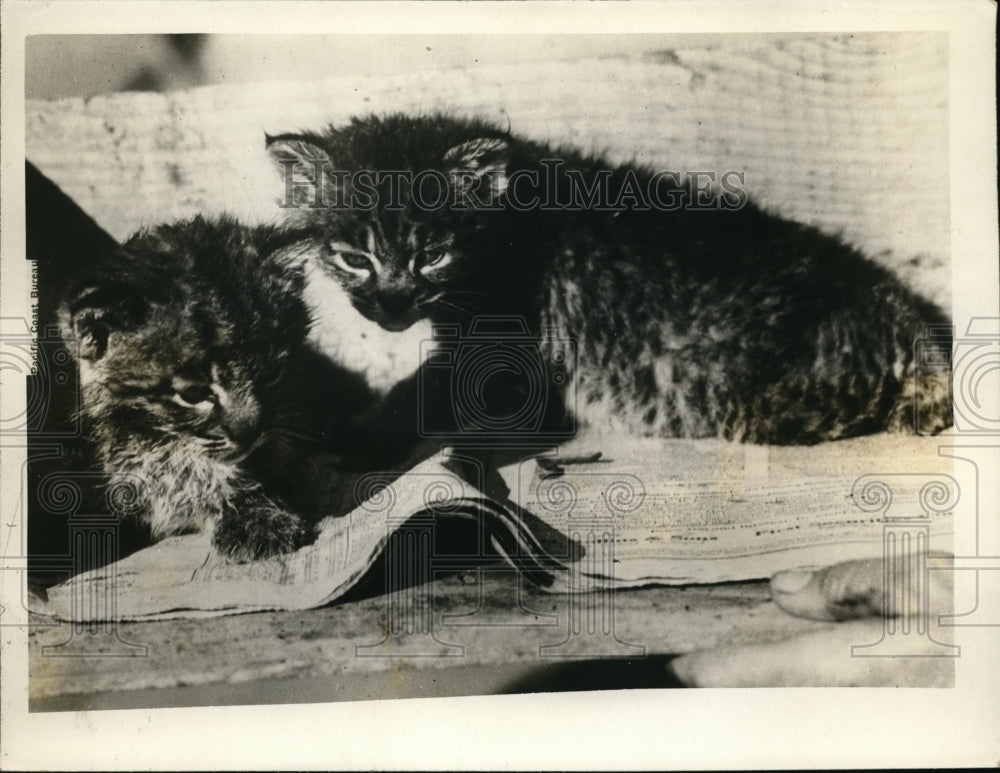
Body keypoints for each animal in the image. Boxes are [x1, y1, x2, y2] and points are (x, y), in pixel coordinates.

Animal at [266, 111, 952, 444]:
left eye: (432, 255)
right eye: (355, 258)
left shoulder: (499, 356)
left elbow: (419, 396)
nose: (391, 306)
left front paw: (348, 433)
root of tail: (911, 314)